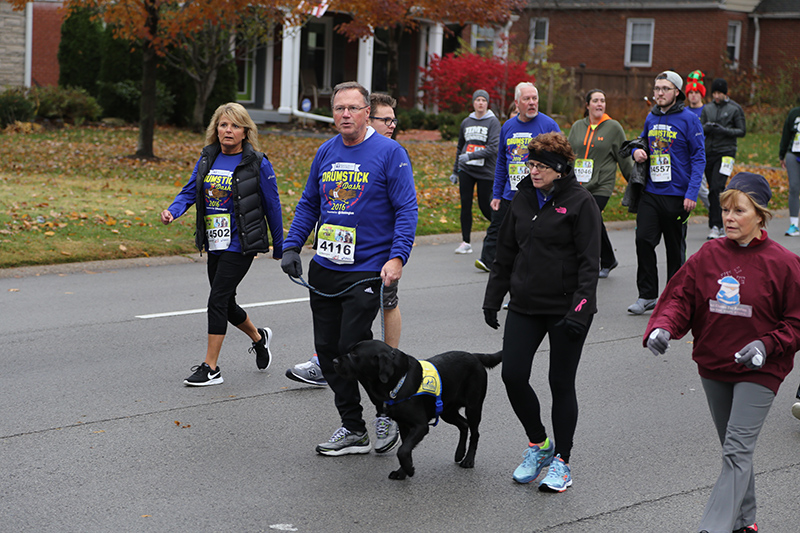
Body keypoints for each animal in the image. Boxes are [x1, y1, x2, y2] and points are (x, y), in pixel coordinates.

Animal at [336, 338, 500, 480]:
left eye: (355, 354)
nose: (334, 361)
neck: (398, 381)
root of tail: (474, 356)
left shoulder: (420, 426)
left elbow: (402, 451)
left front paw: (409, 469)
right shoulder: (404, 424)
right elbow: (405, 448)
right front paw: (402, 472)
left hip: (473, 407)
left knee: (475, 433)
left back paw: (468, 460)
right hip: (447, 411)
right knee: (464, 425)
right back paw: (460, 453)